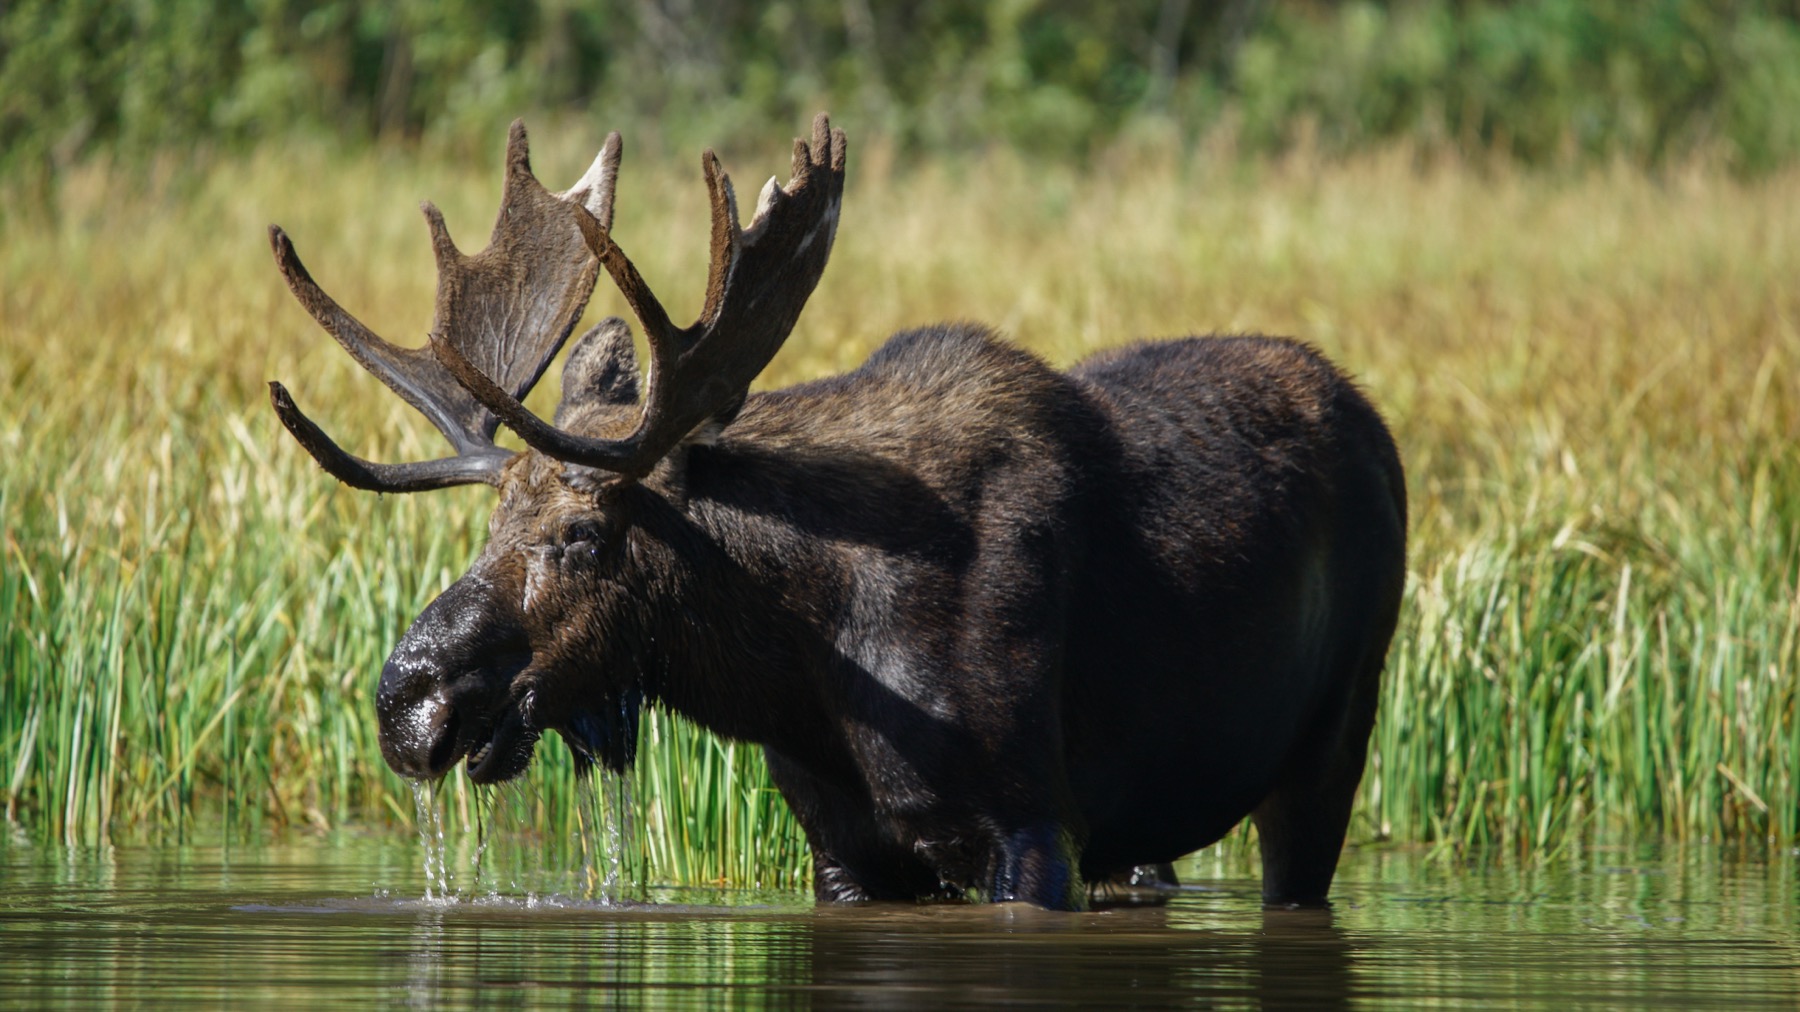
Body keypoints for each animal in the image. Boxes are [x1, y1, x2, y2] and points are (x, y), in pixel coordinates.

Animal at [268, 115, 1407, 911]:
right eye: (487, 529)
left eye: (583, 536)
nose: (405, 700)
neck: (802, 664)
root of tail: (1375, 422)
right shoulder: (844, 847)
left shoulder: (1035, 824)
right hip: (1152, 833)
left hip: (1334, 735)